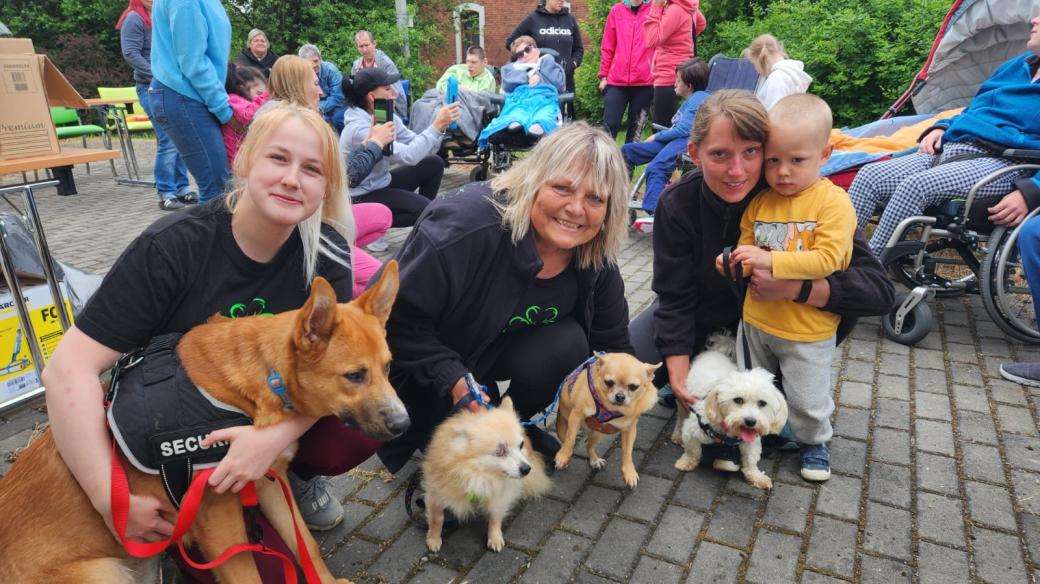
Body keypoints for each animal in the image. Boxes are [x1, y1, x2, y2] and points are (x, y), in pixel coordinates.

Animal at [0, 262, 405, 581]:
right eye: (354, 376)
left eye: (388, 368)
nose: (404, 425)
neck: (261, 379)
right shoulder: (220, 525)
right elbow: (250, 577)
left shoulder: (270, 483)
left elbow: (304, 543)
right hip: (104, 572)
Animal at [422, 394, 553, 548]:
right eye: (500, 452)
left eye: (520, 445)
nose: (527, 469)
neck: (479, 476)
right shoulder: (435, 493)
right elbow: (437, 519)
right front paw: (433, 539)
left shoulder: (500, 497)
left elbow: (495, 518)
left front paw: (495, 538)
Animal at [553, 353, 657, 484]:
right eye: (609, 382)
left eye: (633, 387)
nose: (620, 396)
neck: (611, 408)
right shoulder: (576, 415)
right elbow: (570, 439)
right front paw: (563, 456)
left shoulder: (630, 430)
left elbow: (628, 452)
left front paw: (629, 472)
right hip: (563, 427)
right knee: (566, 439)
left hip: (598, 433)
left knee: (588, 444)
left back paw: (595, 460)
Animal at [673, 332, 786, 486]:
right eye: (738, 400)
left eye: (762, 403)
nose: (751, 421)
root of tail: (717, 352)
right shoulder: (693, 429)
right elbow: (692, 450)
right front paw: (686, 462)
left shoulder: (751, 440)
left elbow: (751, 458)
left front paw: (756, 476)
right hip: (682, 399)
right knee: (680, 417)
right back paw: (677, 434)